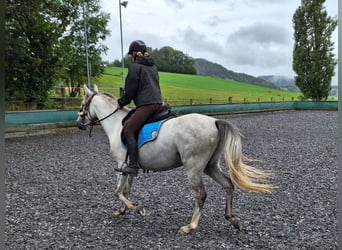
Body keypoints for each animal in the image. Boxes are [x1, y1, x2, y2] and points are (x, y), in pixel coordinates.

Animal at [77, 84, 276, 234]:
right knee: (228, 184)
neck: (117, 124)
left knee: (201, 194)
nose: (79, 124)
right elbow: (125, 190)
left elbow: (117, 191)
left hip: (193, 168)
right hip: (210, 166)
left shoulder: (121, 164)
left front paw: (137, 209)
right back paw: (231, 218)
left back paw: (190, 226)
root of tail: (213, 122)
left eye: (82, 105)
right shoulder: (129, 167)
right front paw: (122, 210)